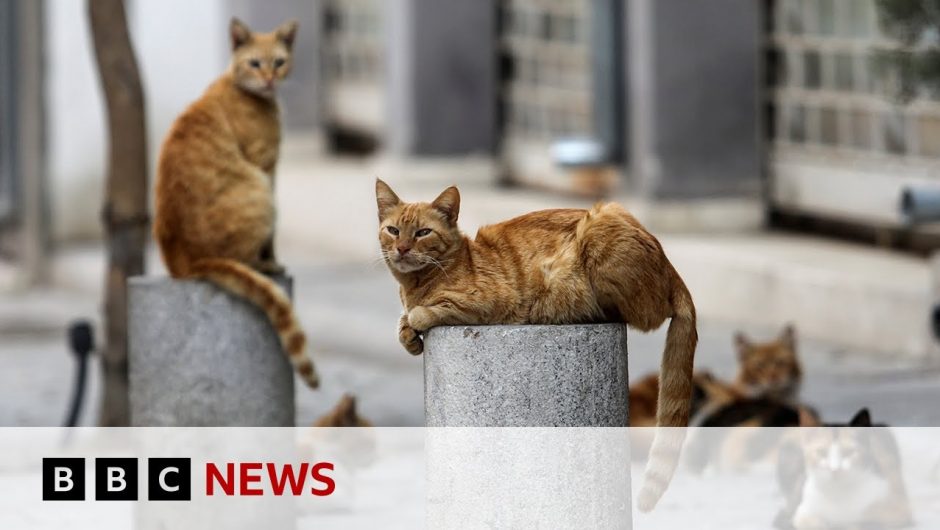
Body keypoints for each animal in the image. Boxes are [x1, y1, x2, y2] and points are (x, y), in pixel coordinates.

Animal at [152, 18, 318, 386]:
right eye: (255, 63)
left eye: (279, 62)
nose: (269, 78)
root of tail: (185, 265)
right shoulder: (266, 168)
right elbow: (272, 238)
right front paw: (272, 260)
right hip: (259, 189)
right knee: (247, 257)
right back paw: (262, 266)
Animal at [374, 179, 696, 510]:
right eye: (393, 230)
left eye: (422, 233)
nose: (402, 248)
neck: (415, 285)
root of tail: (673, 272)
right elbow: (404, 323)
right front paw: (409, 336)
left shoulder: (490, 303)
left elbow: (424, 312)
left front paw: (417, 321)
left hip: (599, 230)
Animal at [772, 408, 912, 528]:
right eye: (822, 452)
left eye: (848, 452)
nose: (835, 469)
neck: (838, 494)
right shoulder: (803, 511)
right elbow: (806, 521)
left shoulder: (898, 509)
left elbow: (865, 522)